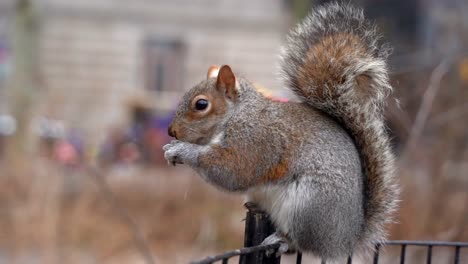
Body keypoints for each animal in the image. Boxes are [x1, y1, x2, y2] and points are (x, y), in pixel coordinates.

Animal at [164, 2, 398, 262]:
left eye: (201, 104)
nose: (171, 131)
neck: (238, 113)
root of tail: (347, 239)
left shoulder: (255, 140)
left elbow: (232, 171)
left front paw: (181, 150)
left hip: (307, 207)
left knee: (302, 244)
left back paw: (283, 240)